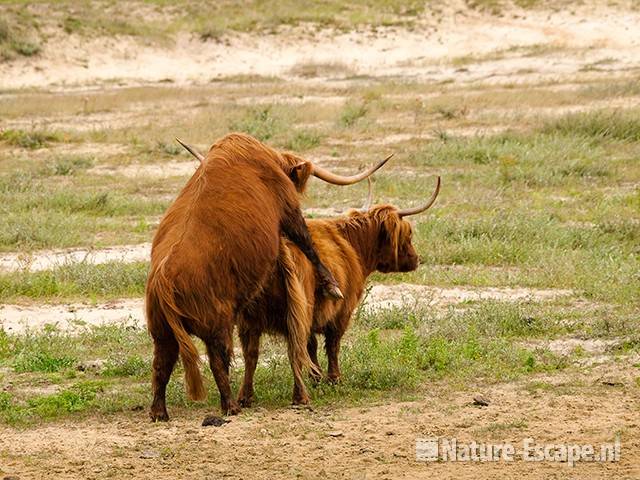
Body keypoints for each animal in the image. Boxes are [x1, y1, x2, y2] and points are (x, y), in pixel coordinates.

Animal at [146, 132, 390, 420]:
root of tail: (163, 278)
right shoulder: (289, 208)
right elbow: (306, 242)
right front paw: (331, 285)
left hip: (162, 331)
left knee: (162, 365)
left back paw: (159, 412)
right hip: (218, 325)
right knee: (218, 361)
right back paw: (231, 405)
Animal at [235, 176, 440, 404]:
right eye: (408, 234)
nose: (416, 259)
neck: (351, 244)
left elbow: (312, 346)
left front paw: (316, 377)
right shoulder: (343, 311)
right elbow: (332, 344)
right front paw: (334, 379)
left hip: (248, 319)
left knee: (252, 354)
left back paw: (245, 397)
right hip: (295, 313)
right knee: (293, 350)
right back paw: (300, 397)